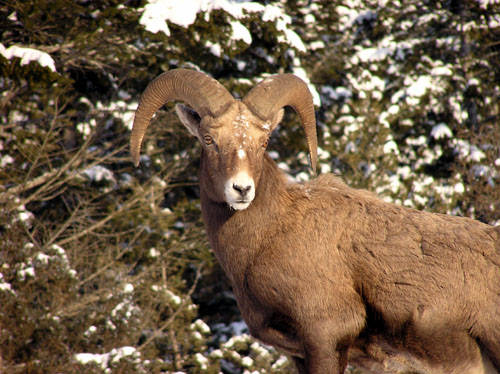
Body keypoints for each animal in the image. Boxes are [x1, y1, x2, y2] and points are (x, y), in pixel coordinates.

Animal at [131, 68, 500, 372]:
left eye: (264, 141)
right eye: (209, 140)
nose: (241, 189)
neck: (266, 239)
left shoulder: (325, 337)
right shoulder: (299, 353)